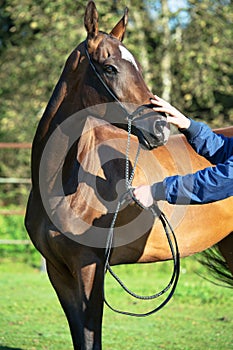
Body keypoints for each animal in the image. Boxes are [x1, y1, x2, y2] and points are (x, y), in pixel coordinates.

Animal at [24, 1, 232, 348]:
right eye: (110, 68)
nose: (160, 129)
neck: (61, 183)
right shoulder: (58, 272)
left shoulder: (89, 267)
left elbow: (91, 337)